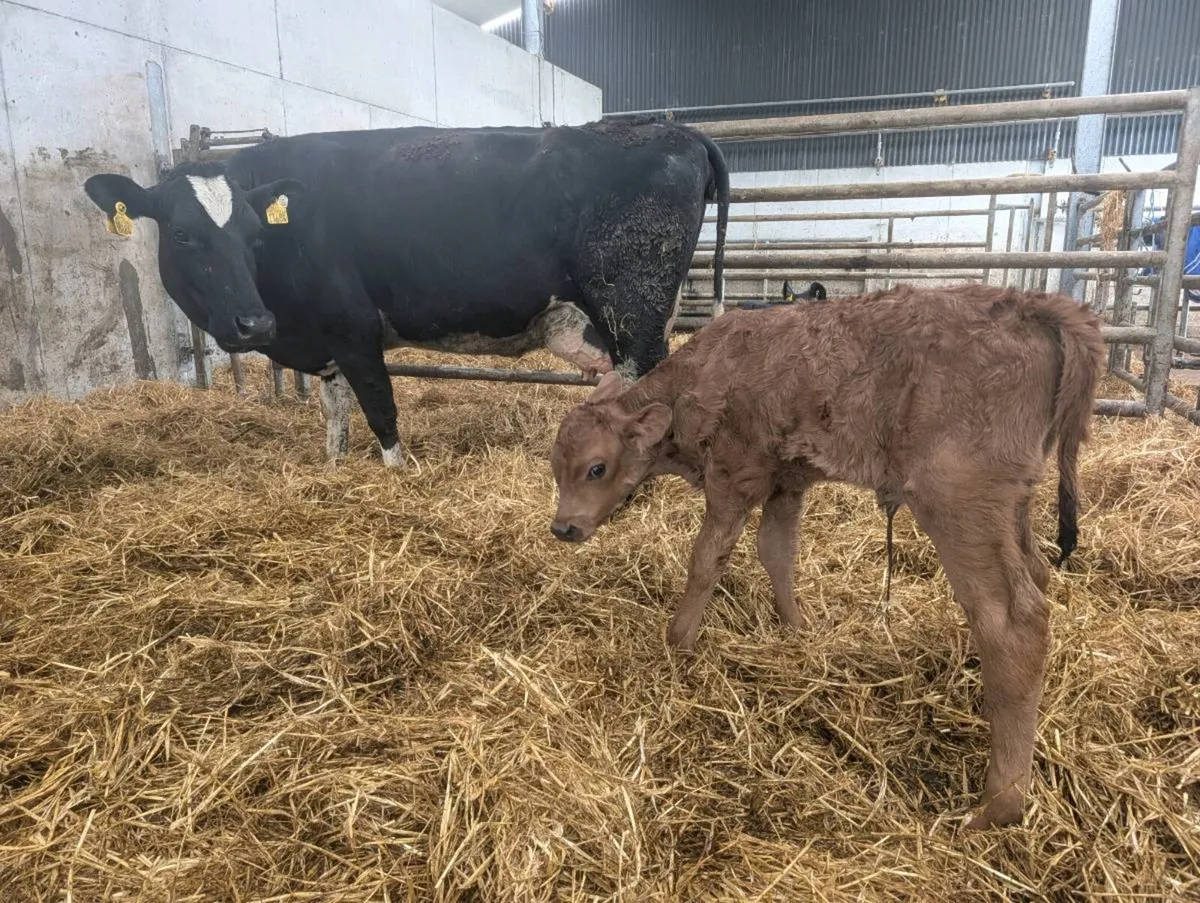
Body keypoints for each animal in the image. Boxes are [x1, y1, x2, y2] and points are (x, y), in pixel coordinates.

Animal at [82, 117, 730, 466]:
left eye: (252, 233)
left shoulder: (355, 329)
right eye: (183, 234)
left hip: (634, 310)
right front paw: (334, 468)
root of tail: (675, 129)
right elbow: (336, 414)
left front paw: (399, 473)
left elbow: (380, 410)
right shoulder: (325, 341)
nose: (254, 324)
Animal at [547, 284, 1104, 829]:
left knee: (1011, 620)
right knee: (1035, 576)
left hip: (960, 507)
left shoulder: (734, 476)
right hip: (1013, 508)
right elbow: (776, 551)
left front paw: (678, 641)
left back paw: (997, 805)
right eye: (557, 467)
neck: (705, 373)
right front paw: (798, 627)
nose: (563, 527)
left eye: (596, 468)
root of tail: (1034, 305)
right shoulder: (787, 481)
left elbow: (708, 557)